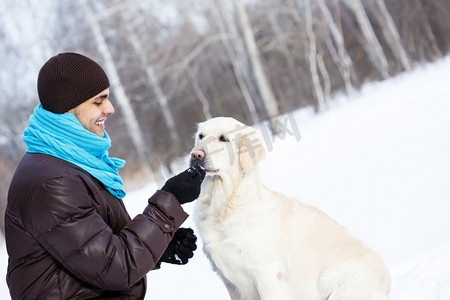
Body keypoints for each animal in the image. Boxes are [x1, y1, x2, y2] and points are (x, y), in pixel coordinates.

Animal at [190, 117, 390, 300]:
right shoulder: (230, 282)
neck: (222, 204)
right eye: (201, 136)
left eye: (223, 138)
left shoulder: (266, 274)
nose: (196, 155)